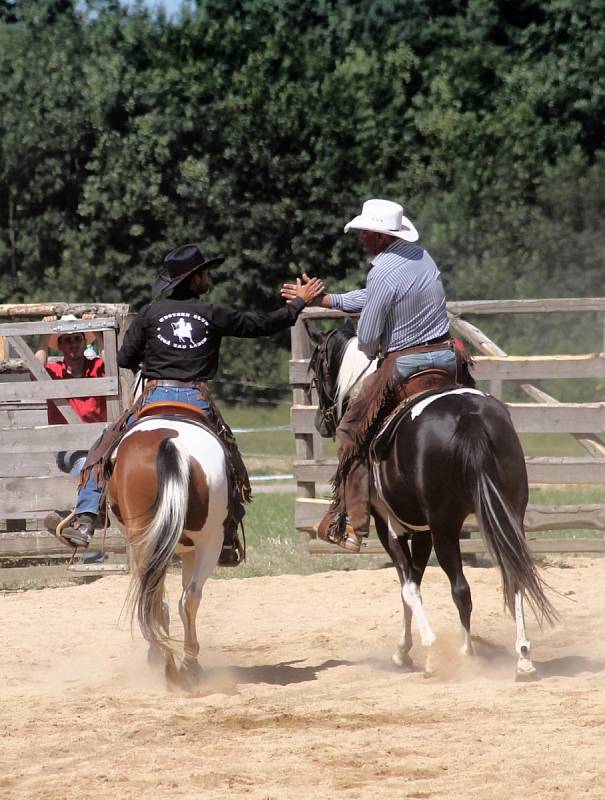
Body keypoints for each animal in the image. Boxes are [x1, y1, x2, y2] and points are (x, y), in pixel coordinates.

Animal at [105, 410, 228, 692]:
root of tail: (170, 443)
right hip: (206, 542)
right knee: (185, 597)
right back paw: (181, 665)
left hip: (189, 542)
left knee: (160, 598)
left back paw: (172, 663)